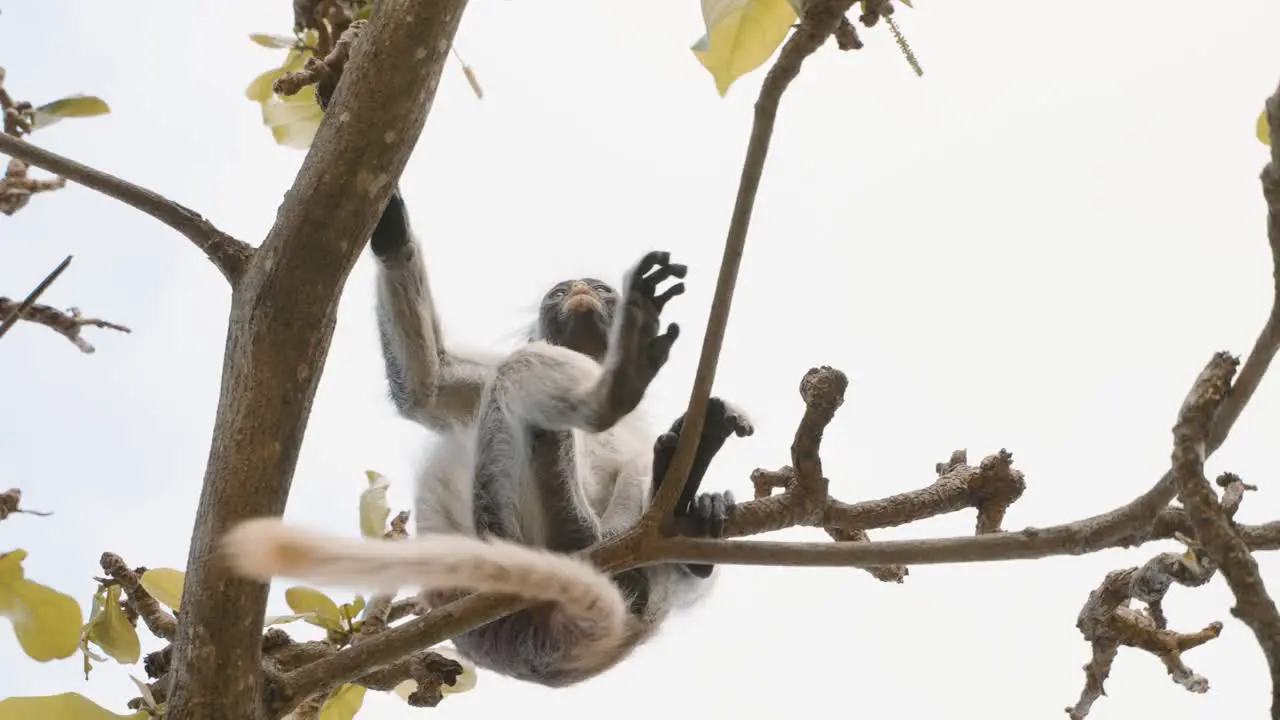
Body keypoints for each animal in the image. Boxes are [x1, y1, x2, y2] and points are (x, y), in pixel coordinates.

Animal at [224, 184, 752, 681]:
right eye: (561, 292)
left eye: (601, 290)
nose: (580, 286)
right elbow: (427, 389)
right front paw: (391, 224)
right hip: (506, 525)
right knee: (525, 375)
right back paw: (616, 406)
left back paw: (685, 493)